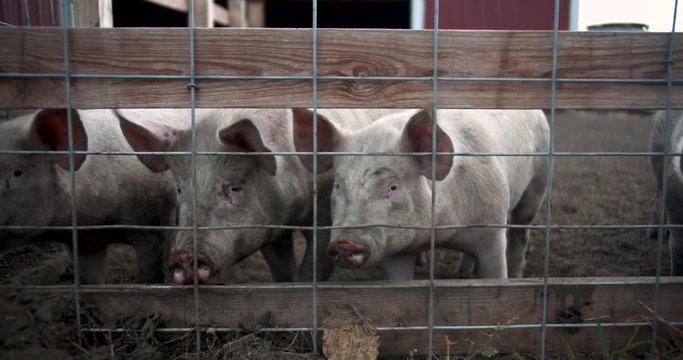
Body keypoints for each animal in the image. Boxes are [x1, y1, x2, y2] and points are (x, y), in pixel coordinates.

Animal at [116, 107, 396, 284]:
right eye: (180, 189)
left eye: (234, 187)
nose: (183, 256)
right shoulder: (271, 229)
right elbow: (281, 271)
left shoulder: (327, 215)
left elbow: (314, 268)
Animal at [294, 108, 552, 280]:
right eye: (338, 185)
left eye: (393, 187)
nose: (344, 242)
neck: (441, 233)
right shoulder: (396, 251)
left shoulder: (492, 229)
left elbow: (495, 274)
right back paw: (462, 273)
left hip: (538, 181)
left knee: (521, 228)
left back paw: (516, 276)